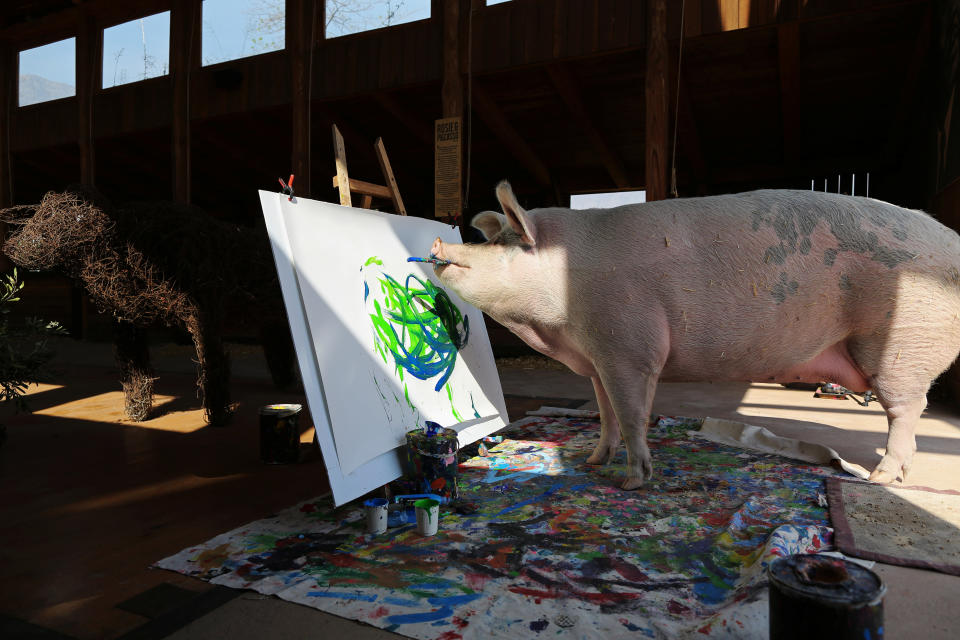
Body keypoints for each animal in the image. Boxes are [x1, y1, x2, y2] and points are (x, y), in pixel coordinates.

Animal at [432, 182, 960, 488]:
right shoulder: (598, 360)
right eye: (491, 239)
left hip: (900, 345)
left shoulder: (630, 346)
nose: (439, 242)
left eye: (504, 246)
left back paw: (880, 478)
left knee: (906, 412)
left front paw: (632, 483)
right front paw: (591, 463)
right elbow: (604, 414)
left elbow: (631, 414)